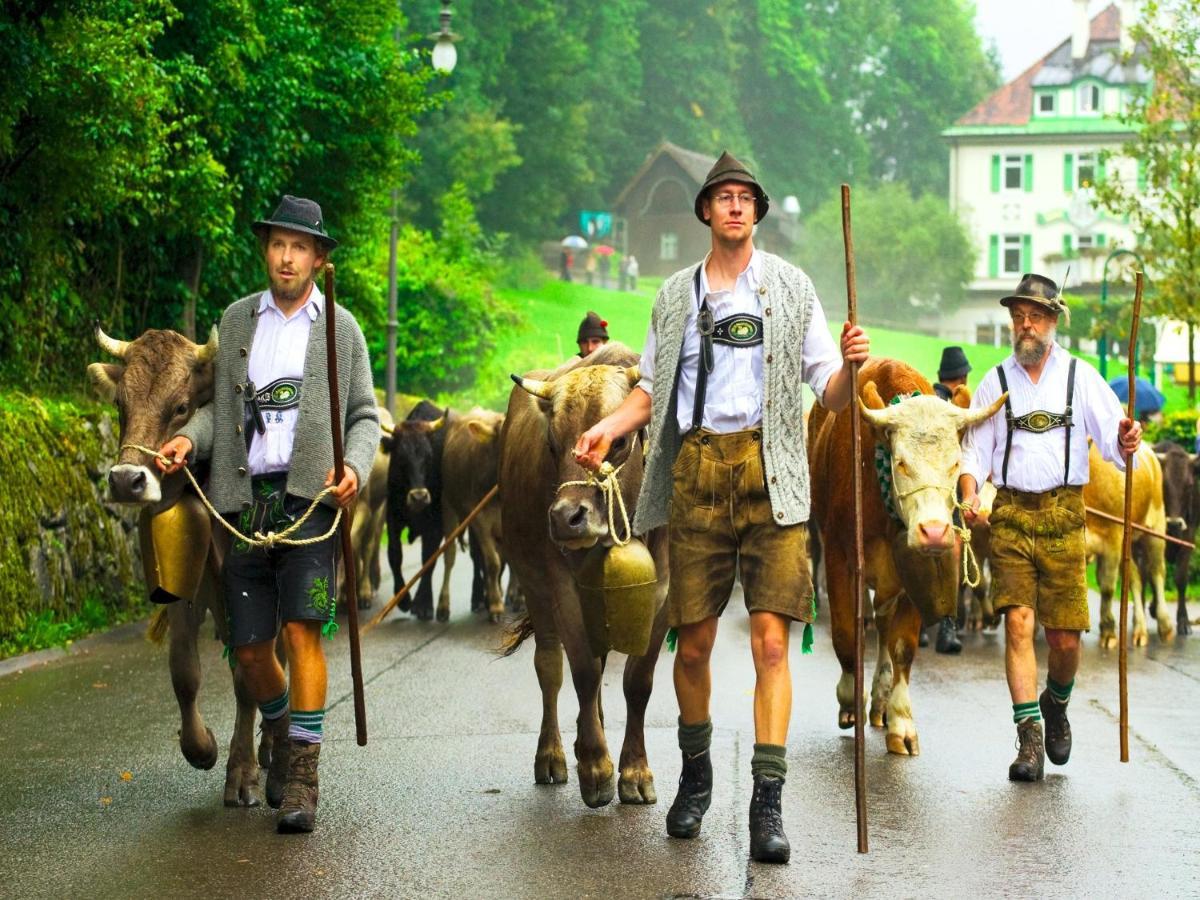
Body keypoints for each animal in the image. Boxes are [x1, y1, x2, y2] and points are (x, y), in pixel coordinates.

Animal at [88, 328, 265, 806]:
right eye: (120, 404)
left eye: (182, 407)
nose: (125, 480)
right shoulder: (183, 592)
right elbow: (184, 672)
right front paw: (201, 747)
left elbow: (248, 676)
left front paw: (242, 772)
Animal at [441, 410, 506, 628]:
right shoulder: (480, 520)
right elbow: (493, 562)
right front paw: (495, 606)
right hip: (448, 506)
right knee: (450, 556)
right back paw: (443, 606)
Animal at [494, 340, 667, 806]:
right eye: (552, 445)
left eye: (619, 441)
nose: (566, 518)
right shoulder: (560, 586)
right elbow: (584, 672)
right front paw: (595, 768)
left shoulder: (666, 592)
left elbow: (638, 682)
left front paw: (635, 771)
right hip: (532, 580)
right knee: (550, 666)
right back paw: (553, 755)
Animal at [806, 357, 1003, 753]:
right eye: (900, 462)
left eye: (956, 463)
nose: (935, 531)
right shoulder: (838, 557)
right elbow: (846, 634)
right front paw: (850, 699)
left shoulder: (916, 570)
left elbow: (902, 648)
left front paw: (901, 722)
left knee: (883, 626)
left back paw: (881, 699)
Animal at [1084, 444, 1166, 648]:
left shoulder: (1112, 539)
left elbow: (1107, 587)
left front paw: (1108, 631)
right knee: (1135, 578)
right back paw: (1140, 629)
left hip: (1156, 527)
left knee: (1157, 572)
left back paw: (1165, 626)